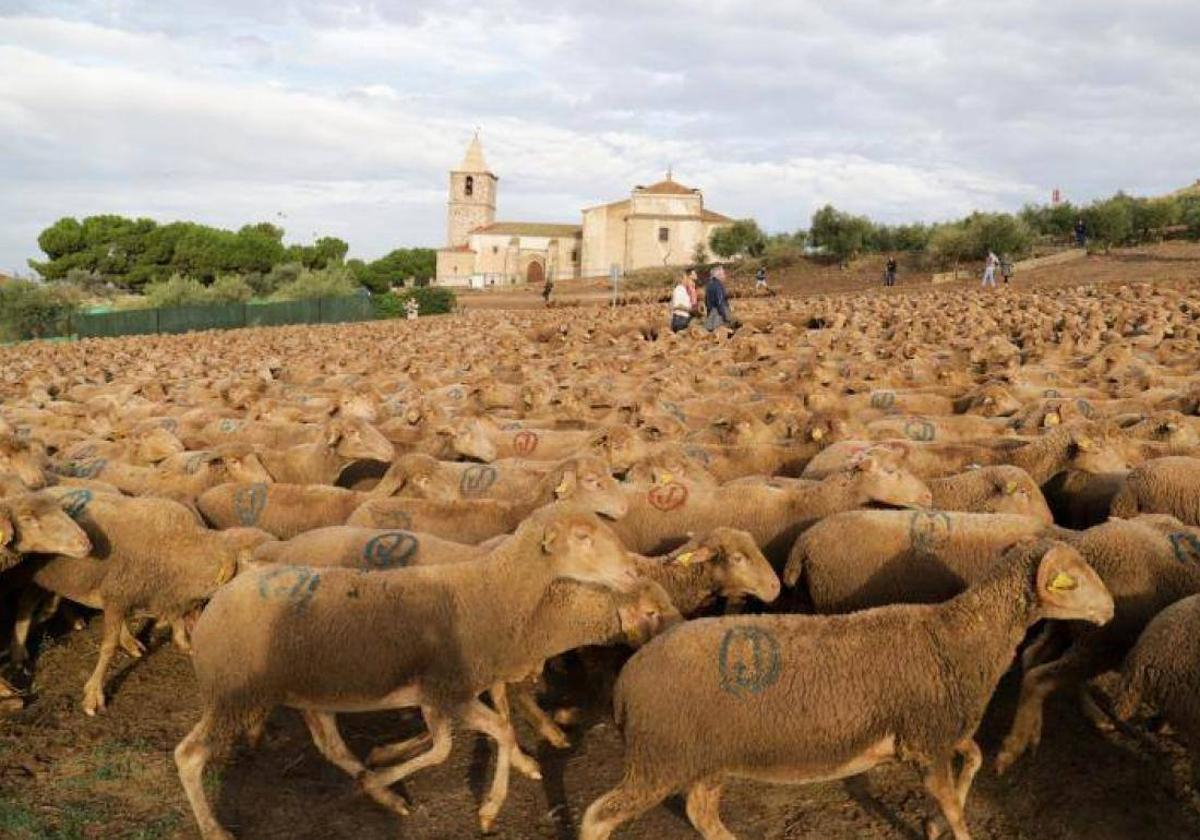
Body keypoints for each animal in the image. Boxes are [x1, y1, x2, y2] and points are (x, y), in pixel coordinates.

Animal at [171, 508, 648, 835]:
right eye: (583, 537)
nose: (630, 571)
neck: (490, 591)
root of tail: (221, 595)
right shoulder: (447, 691)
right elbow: (481, 735)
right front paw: (490, 806)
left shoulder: (441, 694)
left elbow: (465, 738)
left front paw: (382, 774)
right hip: (233, 693)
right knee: (189, 755)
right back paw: (215, 829)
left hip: (308, 692)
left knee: (331, 746)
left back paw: (384, 797)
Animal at [576, 537, 1108, 840]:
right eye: (1073, 581)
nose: (1111, 611)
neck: (958, 636)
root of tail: (628, 680)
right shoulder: (926, 741)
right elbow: (955, 806)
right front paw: (947, 824)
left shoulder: (937, 734)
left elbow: (973, 762)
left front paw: (933, 823)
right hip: (659, 759)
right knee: (598, 818)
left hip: (704, 759)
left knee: (699, 810)